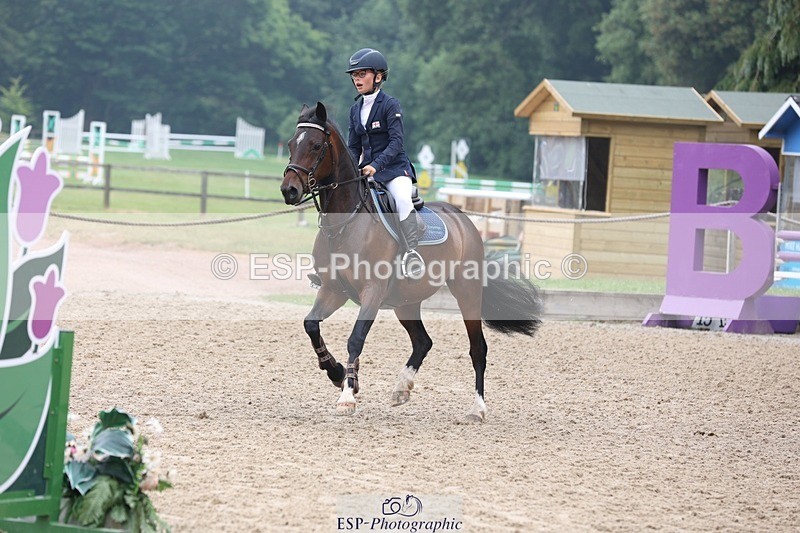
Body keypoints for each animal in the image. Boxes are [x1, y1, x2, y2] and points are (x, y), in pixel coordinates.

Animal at [280, 102, 542, 421]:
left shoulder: (372, 292)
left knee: (477, 348)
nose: (289, 190)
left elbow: (355, 338)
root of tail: (464, 219)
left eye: (316, 146)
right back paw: (401, 387)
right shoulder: (333, 290)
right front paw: (337, 373)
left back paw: (477, 409)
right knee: (423, 341)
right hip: (405, 302)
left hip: (466, 292)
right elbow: (311, 325)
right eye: (291, 144)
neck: (345, 223)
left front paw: (347, 395)